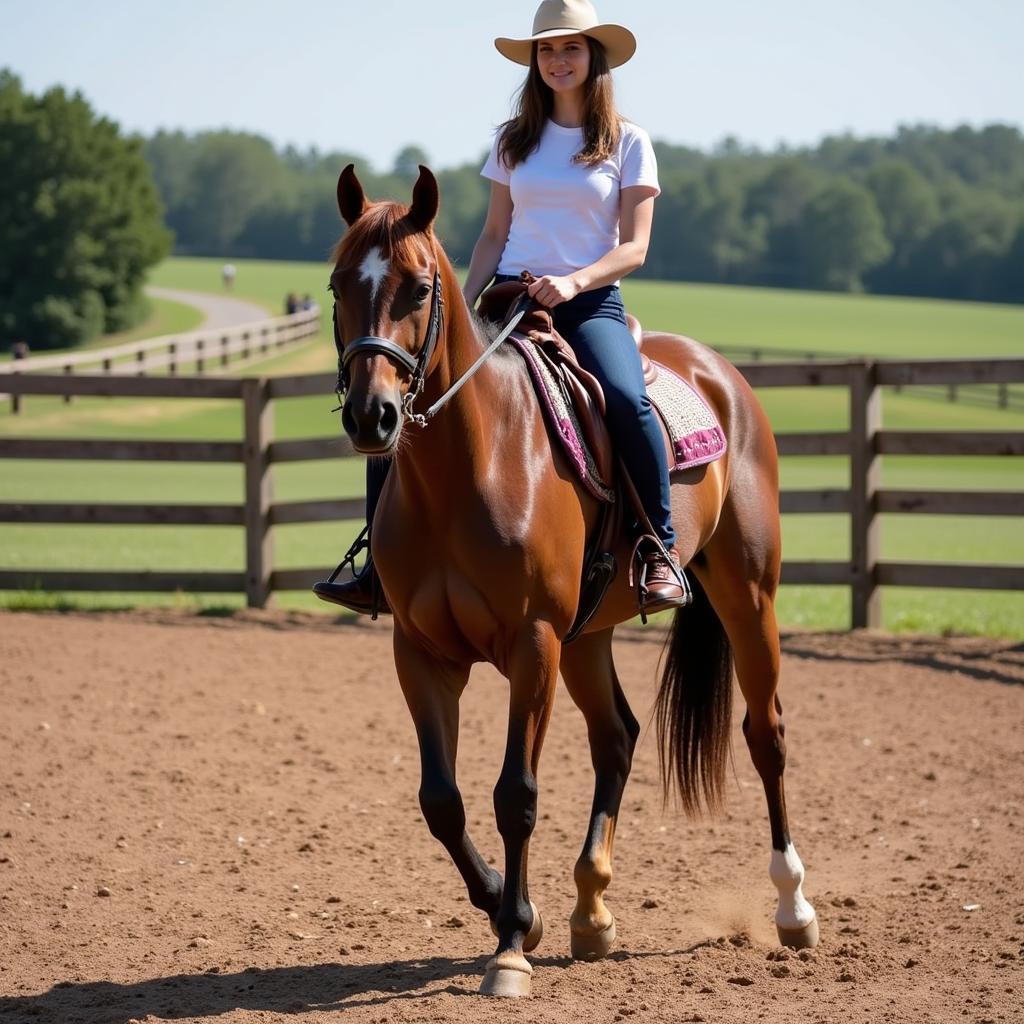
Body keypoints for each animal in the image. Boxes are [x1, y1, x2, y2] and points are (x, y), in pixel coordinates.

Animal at [327, 163, 815, 995]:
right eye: (335, 286)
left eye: (418, 289)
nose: (372, 416)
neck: (474, 462)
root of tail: (721, 373)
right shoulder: (420, 651)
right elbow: (441, 801)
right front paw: (514, 910)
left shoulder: (534, 644)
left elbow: (515, 796)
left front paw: (511, 947)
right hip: (590, 636)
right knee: (617, 736)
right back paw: (592, 912)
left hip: (746, 596)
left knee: (766, 734)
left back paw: (792, 907)